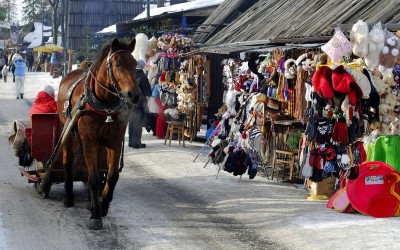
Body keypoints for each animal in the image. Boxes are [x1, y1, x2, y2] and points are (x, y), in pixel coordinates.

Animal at [56, 38, 141, 229]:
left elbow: (112, 175)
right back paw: (69, 196)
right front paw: (95, 215)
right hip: (68, 130)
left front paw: (103, 204)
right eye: (117, 64)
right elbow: (94, 177)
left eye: (135, 64)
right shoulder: (89, 140)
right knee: (67, 161)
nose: (134, 95)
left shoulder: (115, 141)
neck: (105, 104)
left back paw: (90, 200)